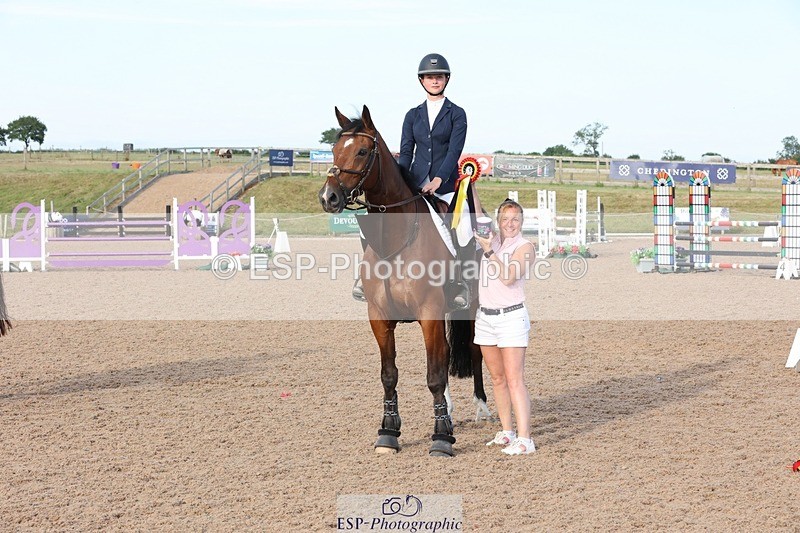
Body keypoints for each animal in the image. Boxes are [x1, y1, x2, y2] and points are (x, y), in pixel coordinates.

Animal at [318, 106, 489, 456]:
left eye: (362, 151)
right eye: (334, 148)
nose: (329, 197)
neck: (394, 244)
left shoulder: (429, 313)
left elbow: (434, 376)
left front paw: (441, 438)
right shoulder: (380, 318)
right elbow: (389, 375)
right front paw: (388, 432)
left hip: (471, 305)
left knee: (472, 349)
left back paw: (481, 407)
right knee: (447, 354)